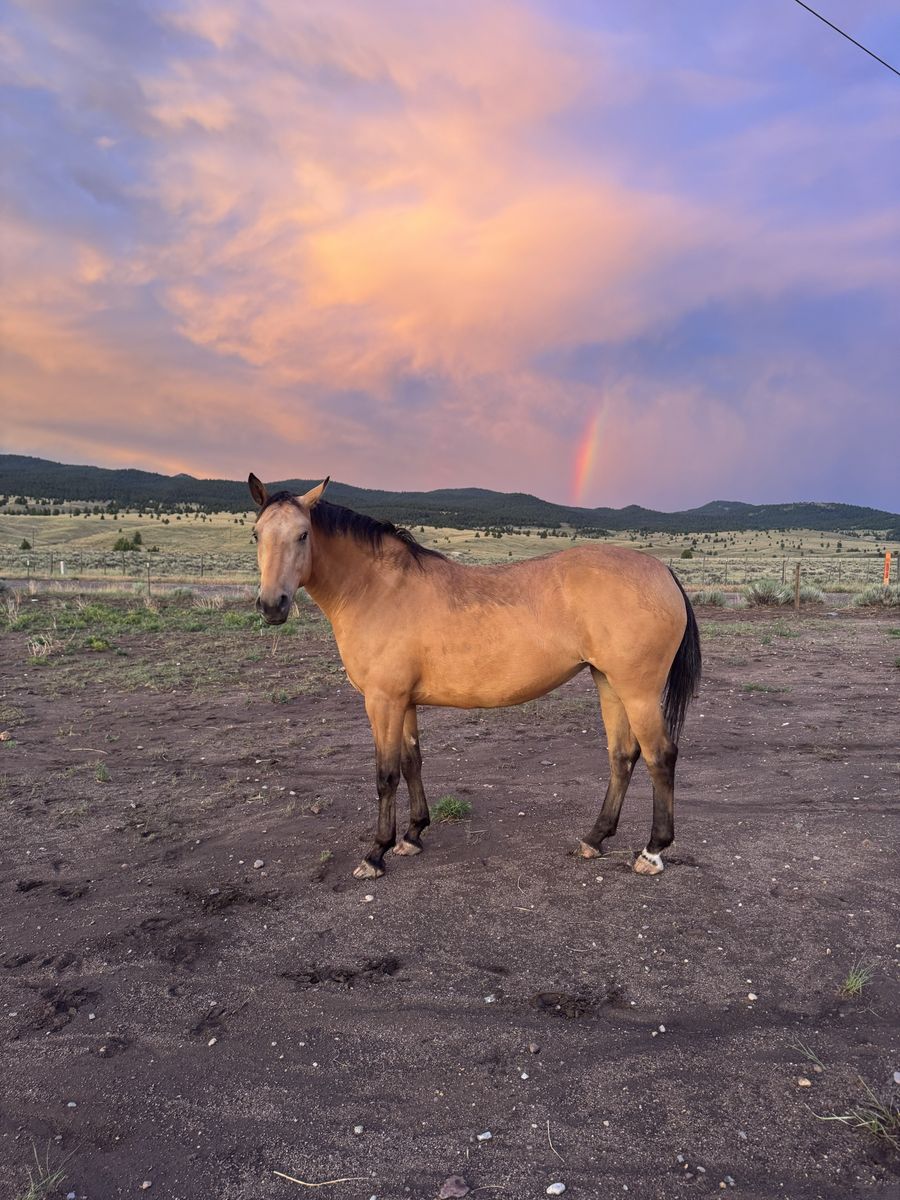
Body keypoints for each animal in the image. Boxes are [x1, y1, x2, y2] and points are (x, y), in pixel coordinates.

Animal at [248, 474, 701, 881]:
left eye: (303, 534)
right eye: (256, 534)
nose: (272, 605)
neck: (378, 589)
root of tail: (662, 571)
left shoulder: (383, 701)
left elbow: (386, 775)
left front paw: (376, 853)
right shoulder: (405, 702)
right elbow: (412, 762)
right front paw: (412, 835)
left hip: (638, 692)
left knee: (660, 756)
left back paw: (652, 852)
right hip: (608, 683)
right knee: (622, 755)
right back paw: (594, 838)